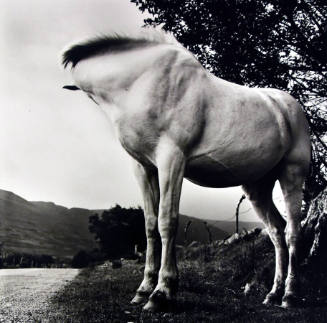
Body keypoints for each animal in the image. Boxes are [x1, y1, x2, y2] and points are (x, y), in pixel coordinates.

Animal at [62, 29, 312, 312]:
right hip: (257, 187)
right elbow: (150, 225)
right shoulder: (144, 167)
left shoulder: (171, 160)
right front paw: (144, 290)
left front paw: (161, 292)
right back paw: (273, 294)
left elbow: (167, 222)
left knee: (292, 231)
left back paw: (289, 295)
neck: (141, 81)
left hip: (292, 175)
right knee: (276, 231)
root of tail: (288, 106)